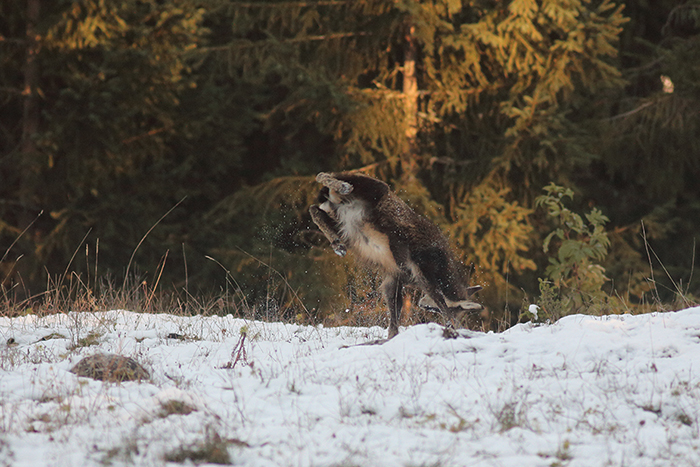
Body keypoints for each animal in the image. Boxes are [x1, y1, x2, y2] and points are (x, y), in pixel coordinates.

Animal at [312, 171, 482, 336]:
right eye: (456, 312)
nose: (422, 304)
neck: (442, 269)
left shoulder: (394, 276)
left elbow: (394, 315)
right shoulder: (420, 268)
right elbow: (439, 299)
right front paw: (452, 328)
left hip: (338, 217)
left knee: (315, 209)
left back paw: (337, 243)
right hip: (374, 188)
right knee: (324, 175)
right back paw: (343, 187)